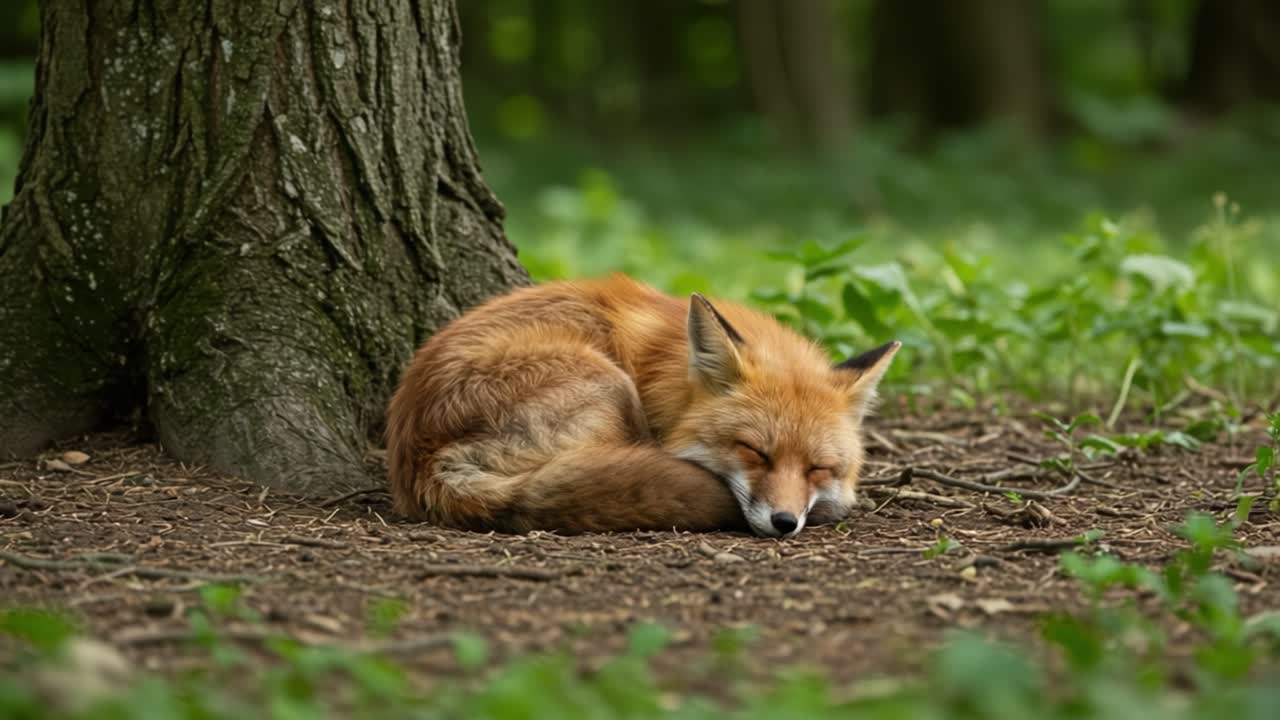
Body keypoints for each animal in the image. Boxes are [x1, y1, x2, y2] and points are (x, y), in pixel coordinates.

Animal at [385, 274, 899, 538]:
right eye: (755, 452)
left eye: (818, 468)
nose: (785, 523)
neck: (664, 371)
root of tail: (421, 457)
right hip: (610, 386)